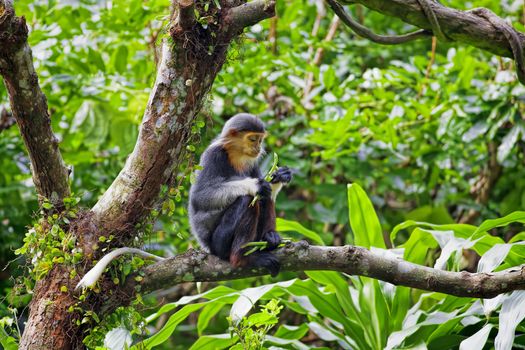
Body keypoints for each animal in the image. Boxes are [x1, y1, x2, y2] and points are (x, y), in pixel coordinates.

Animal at [188, 113, 290, 274]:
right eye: (253, 139)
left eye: (260, 140)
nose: (258, 147)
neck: (235, 154)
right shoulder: (214, 154)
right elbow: (200, 198)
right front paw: (254, 185)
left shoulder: (252, 162)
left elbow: (267, 188)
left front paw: (280, 176)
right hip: (219, 242)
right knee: (247, 199)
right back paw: (243, 258)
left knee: (264, 197)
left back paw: (269, 238)